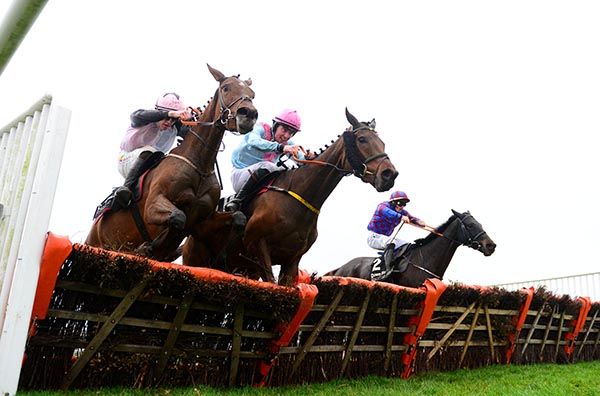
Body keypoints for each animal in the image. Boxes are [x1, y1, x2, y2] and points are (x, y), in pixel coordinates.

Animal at [86, 65, 258, 262]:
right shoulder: (153, 206)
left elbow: (238, 217)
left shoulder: (202, 221)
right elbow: (178, 217)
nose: (249, 114)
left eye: (252, 94)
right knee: (146, 152)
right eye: (226, 88)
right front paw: (147, 248)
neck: (199, 164)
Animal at [183, 108, 398, 286]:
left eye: (382, 142)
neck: (299, 198)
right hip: (196, 259)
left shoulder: (292, 260)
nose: (389, 174)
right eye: (362, 139)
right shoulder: (258, 247)